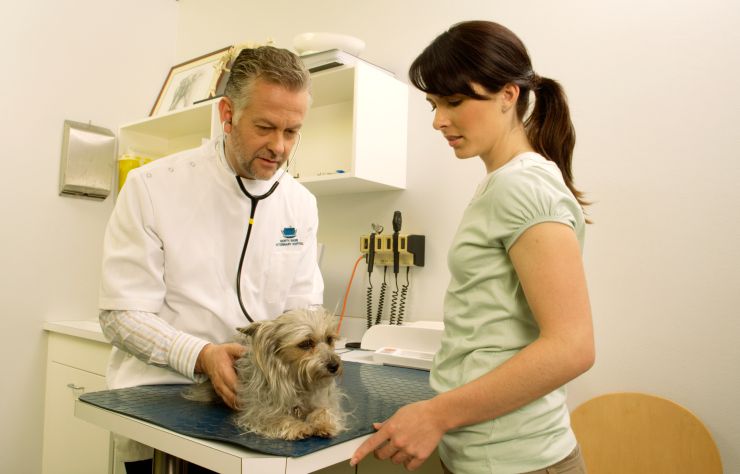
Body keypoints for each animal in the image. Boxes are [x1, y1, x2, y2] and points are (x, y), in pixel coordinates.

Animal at [185, 308, 346, 440]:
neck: (297, 380)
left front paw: (323, 423)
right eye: (306, 344)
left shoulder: (324, 401)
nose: (334, 366)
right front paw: (297, 426)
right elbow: (274, 418)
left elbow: (324, 410)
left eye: (329, 339)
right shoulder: (257, 411)